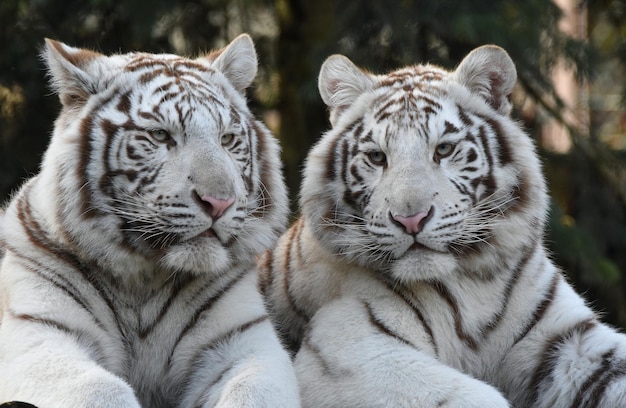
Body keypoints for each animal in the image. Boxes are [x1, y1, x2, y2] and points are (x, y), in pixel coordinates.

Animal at [0, 34, 300, 408]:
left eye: (227, 140)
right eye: (159, 136)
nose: (219, 202)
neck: (143, 279)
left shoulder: (243, 343)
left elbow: (253, 395)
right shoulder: (39, 334)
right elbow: (100, 389)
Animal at [258, 45, 624, 408]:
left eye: (444, 149)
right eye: (377, 157)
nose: (411, 219)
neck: (477, 281)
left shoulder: (568, 338)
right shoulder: (350, 350)